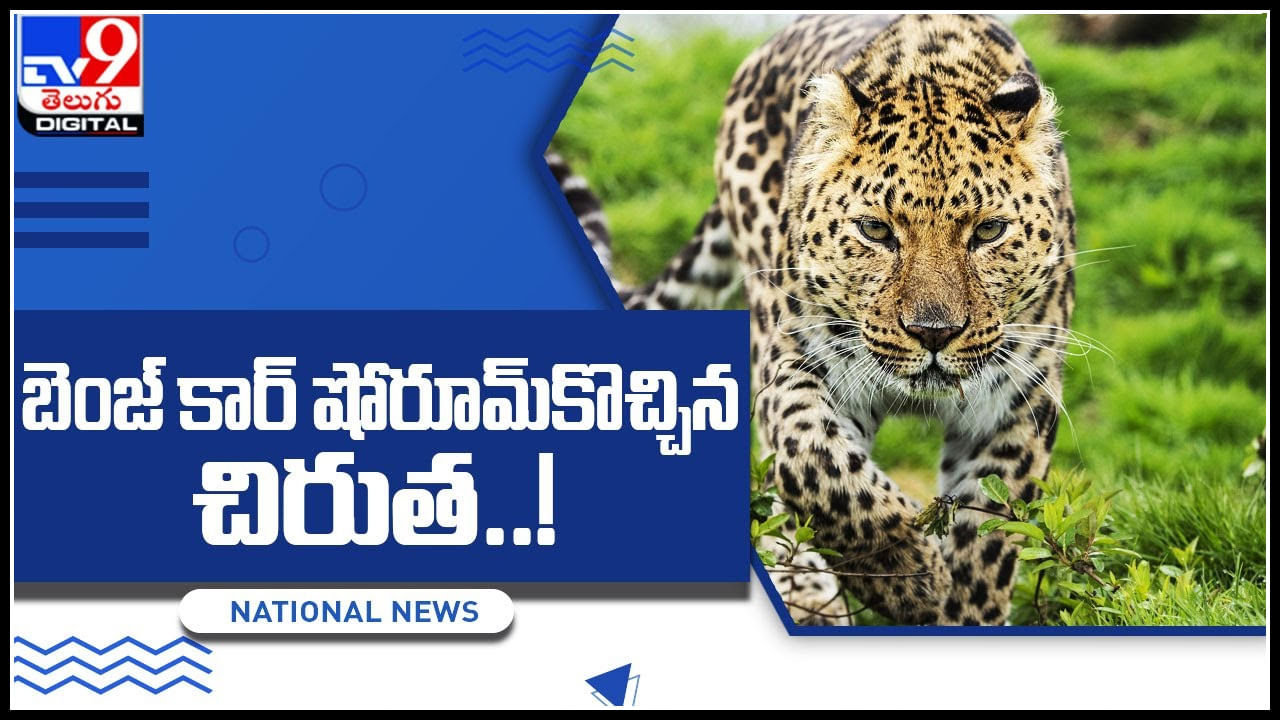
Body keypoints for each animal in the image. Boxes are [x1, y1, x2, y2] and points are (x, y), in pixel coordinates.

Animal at [551, 13, 1076, 626]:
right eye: (875, 230)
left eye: (989, 231)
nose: (934, 334)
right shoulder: (795, 361)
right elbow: (813, 461)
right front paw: (906, 572)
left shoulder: (1017, 403)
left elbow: (990, 535)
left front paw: (961, 608)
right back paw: (806, 589)